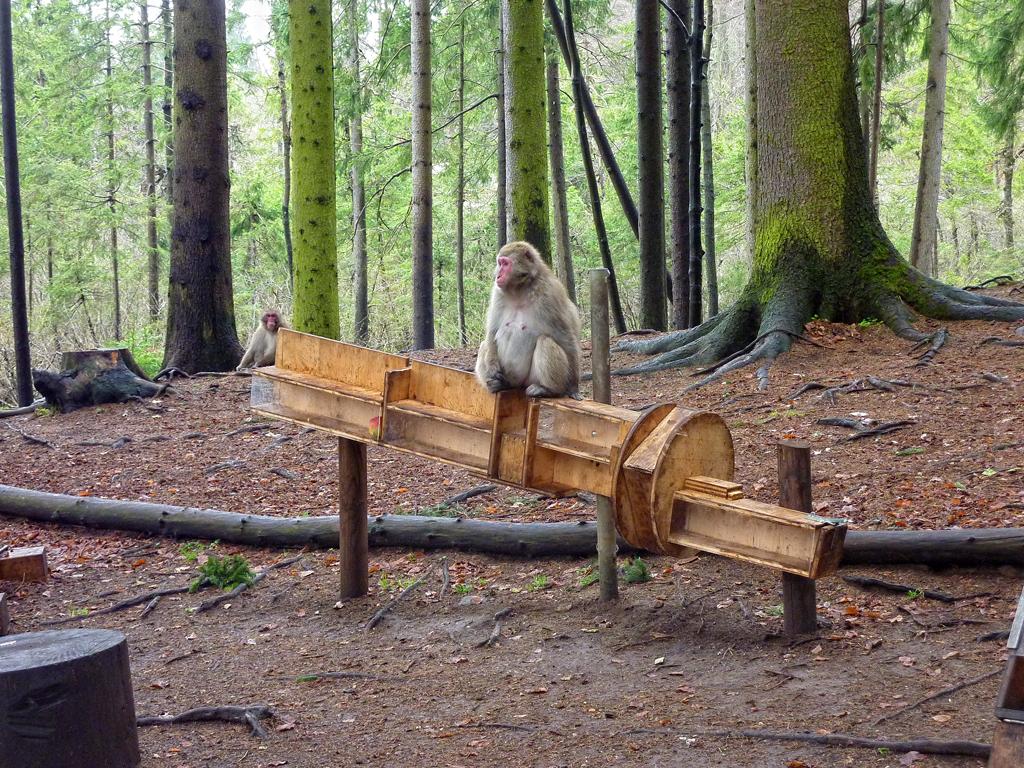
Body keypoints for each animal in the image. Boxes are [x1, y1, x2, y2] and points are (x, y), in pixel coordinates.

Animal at [475, 241, 581, 398]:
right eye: (499, 263)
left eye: (505, 263)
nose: (498, 275)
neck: (520, 290)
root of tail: (518, 384)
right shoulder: (498, 293)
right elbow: (493, 331)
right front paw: (492, 367)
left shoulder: (551, 294)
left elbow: (566, 339)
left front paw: (573, 388)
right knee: (484, 344)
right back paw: (498, 384)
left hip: (532, 379)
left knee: (545, 341)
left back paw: (549, 389)